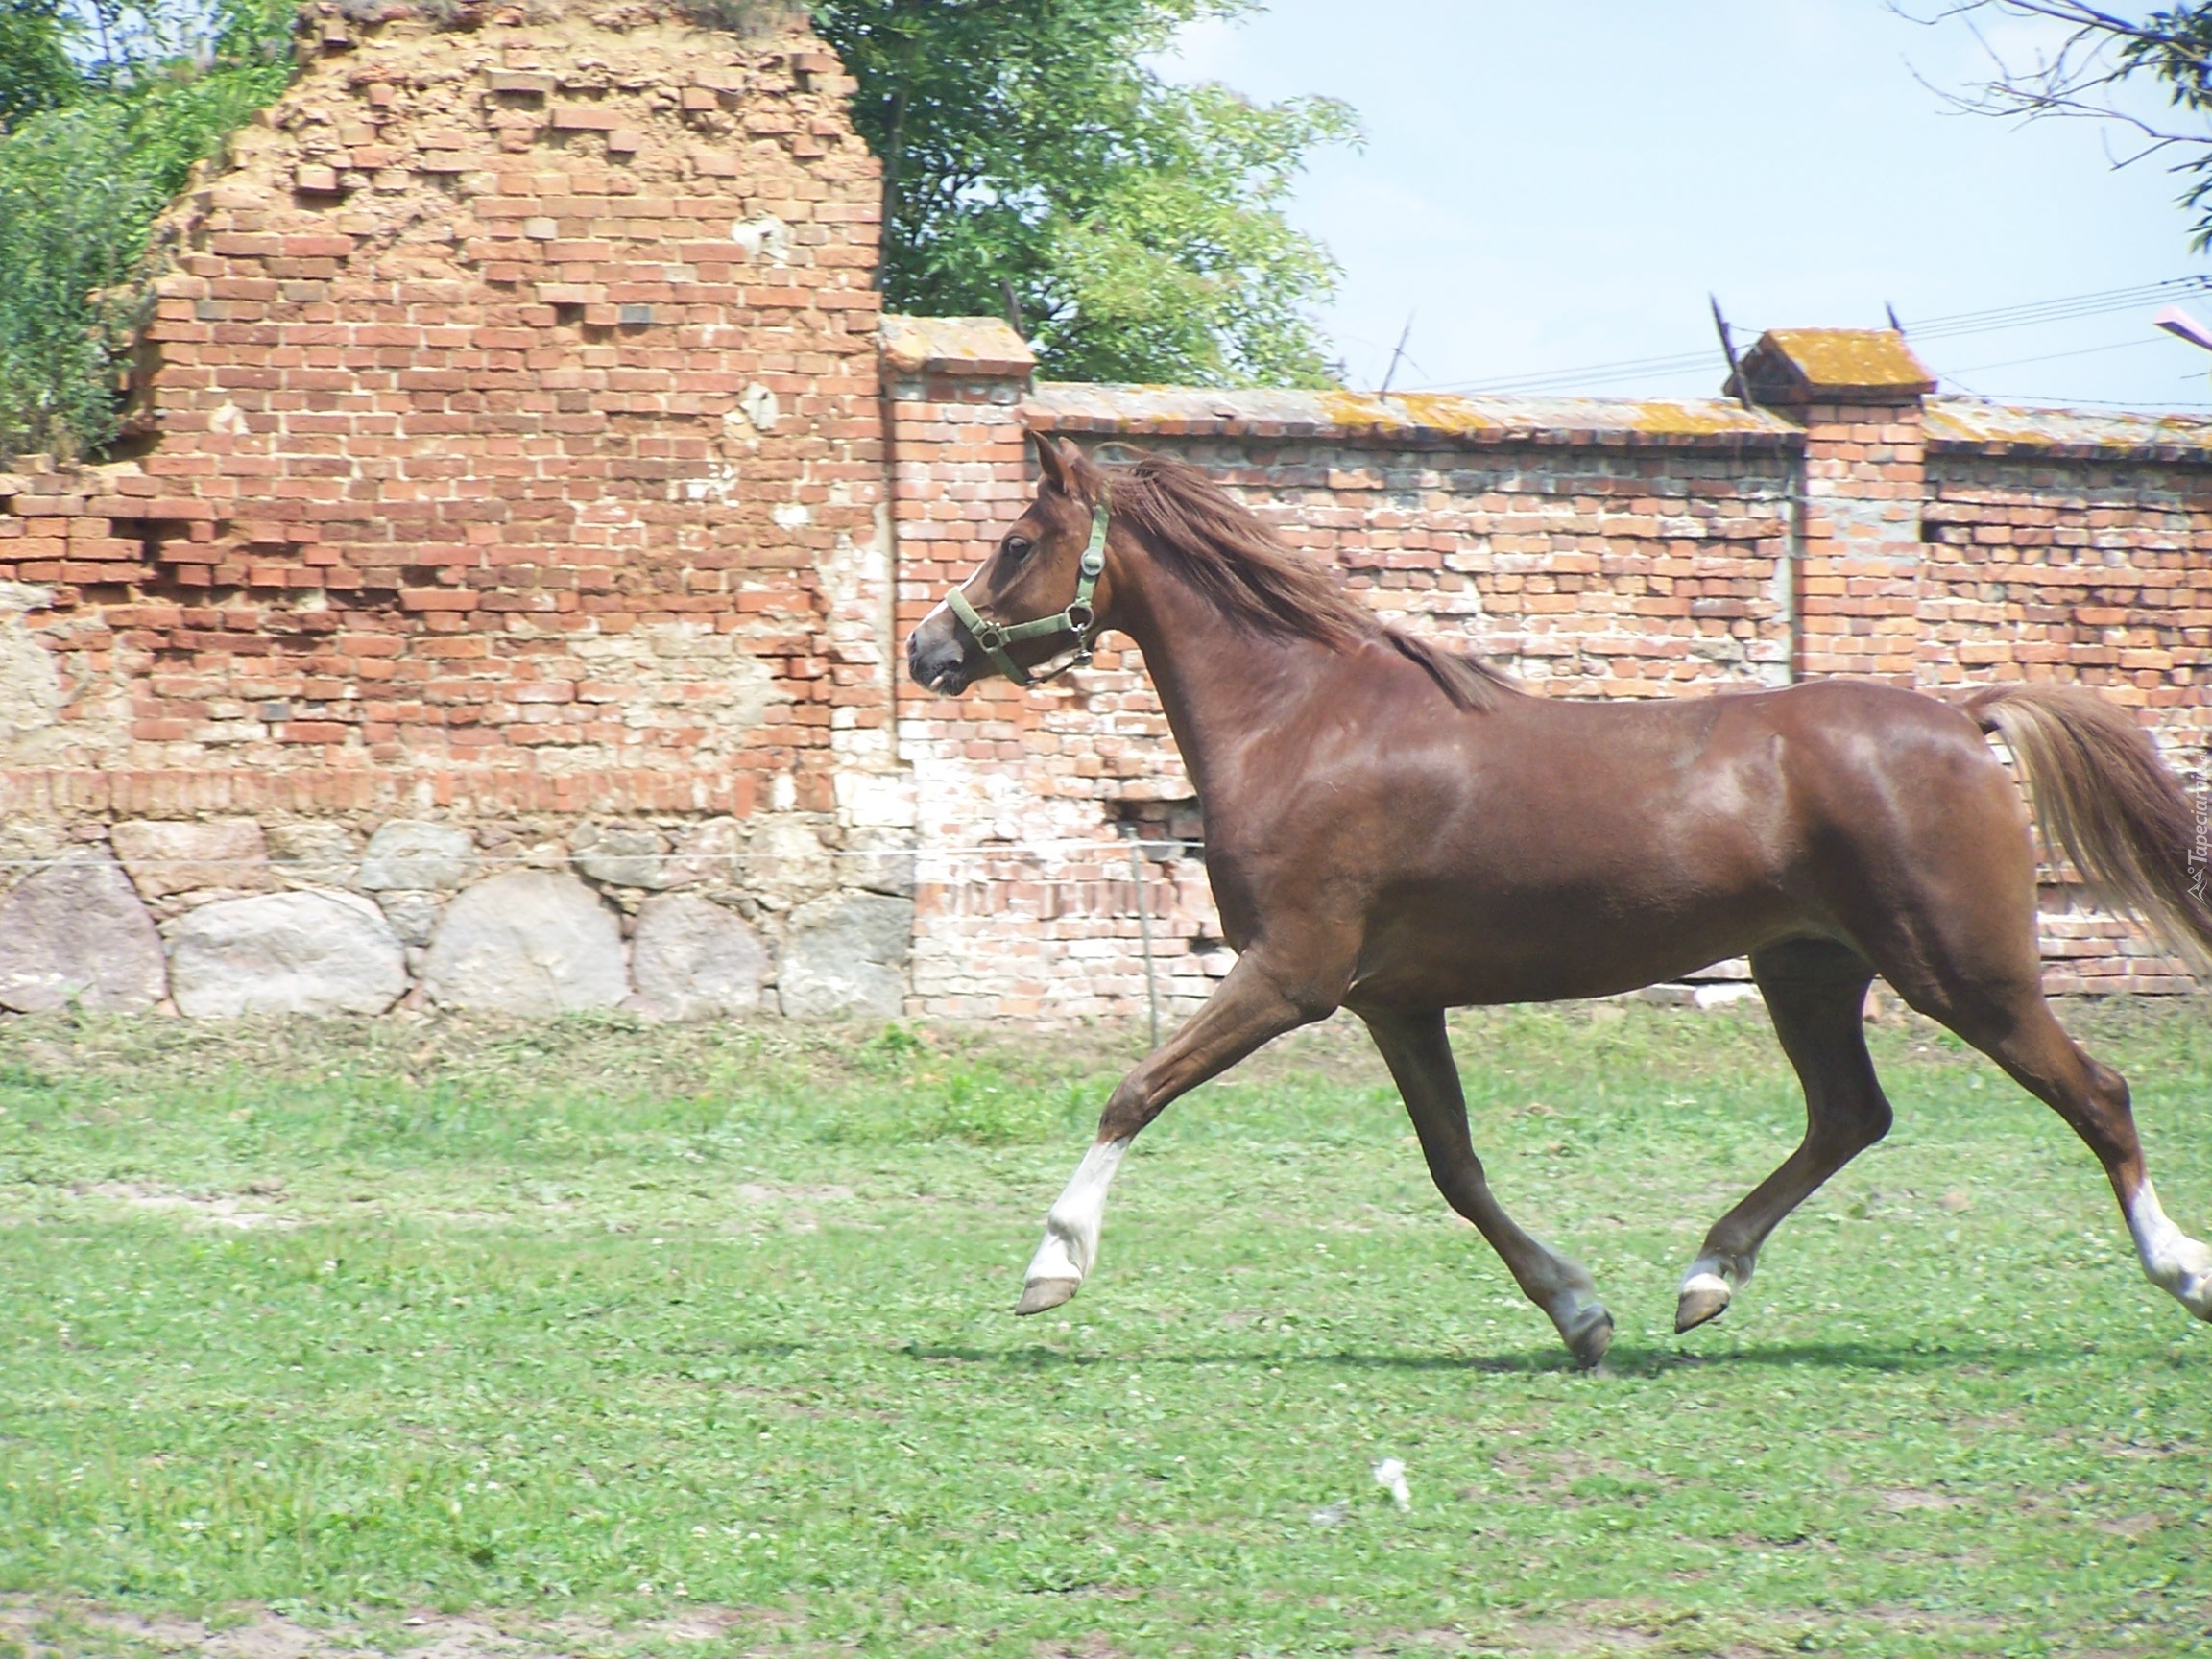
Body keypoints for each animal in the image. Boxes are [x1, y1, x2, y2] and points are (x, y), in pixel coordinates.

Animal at [902, 435, 2212, 1371]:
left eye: (1017, 540)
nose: (928, 650)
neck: (1304, 725)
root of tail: (1961, 716)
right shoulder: (1393, 1004)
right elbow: (1456, 1168)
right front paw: (1580, 1313)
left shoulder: (1291, 975)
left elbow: (1134, 1090)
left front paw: (1051, 1266)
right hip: (1809, 969)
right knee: (1851, 1115)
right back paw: (1703, 1281)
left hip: (1962, 970)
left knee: (2095, 1092)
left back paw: (2182, 1272)